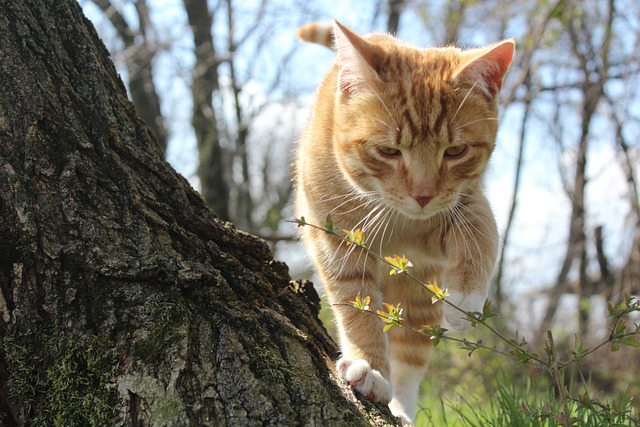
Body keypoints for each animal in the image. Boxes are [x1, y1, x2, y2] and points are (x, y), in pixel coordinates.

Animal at [296, 20, 516, 424]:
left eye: (455, 151)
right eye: (388, 151)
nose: (423, 195)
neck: (398, 220)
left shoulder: (465, 204)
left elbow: (482, 234)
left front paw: (466, 299)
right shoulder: (335, 238)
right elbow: (355, 304)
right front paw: (369, 366)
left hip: (418, 301)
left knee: (410, 357)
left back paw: (403, 409)